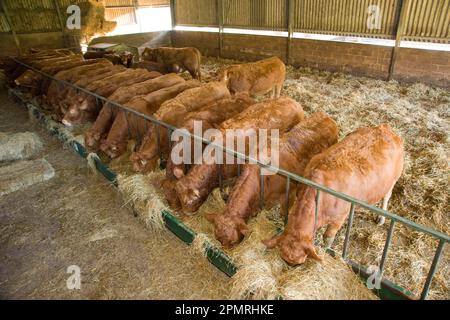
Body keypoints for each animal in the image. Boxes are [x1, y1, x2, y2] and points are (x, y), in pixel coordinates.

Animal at [264, 125, 404, 264]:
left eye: (298, 264)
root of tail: (385, 128)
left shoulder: (339, 218)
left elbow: (328, 238)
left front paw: (326, 250)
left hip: (393, 180)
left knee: (387, 196)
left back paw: (381, 217)